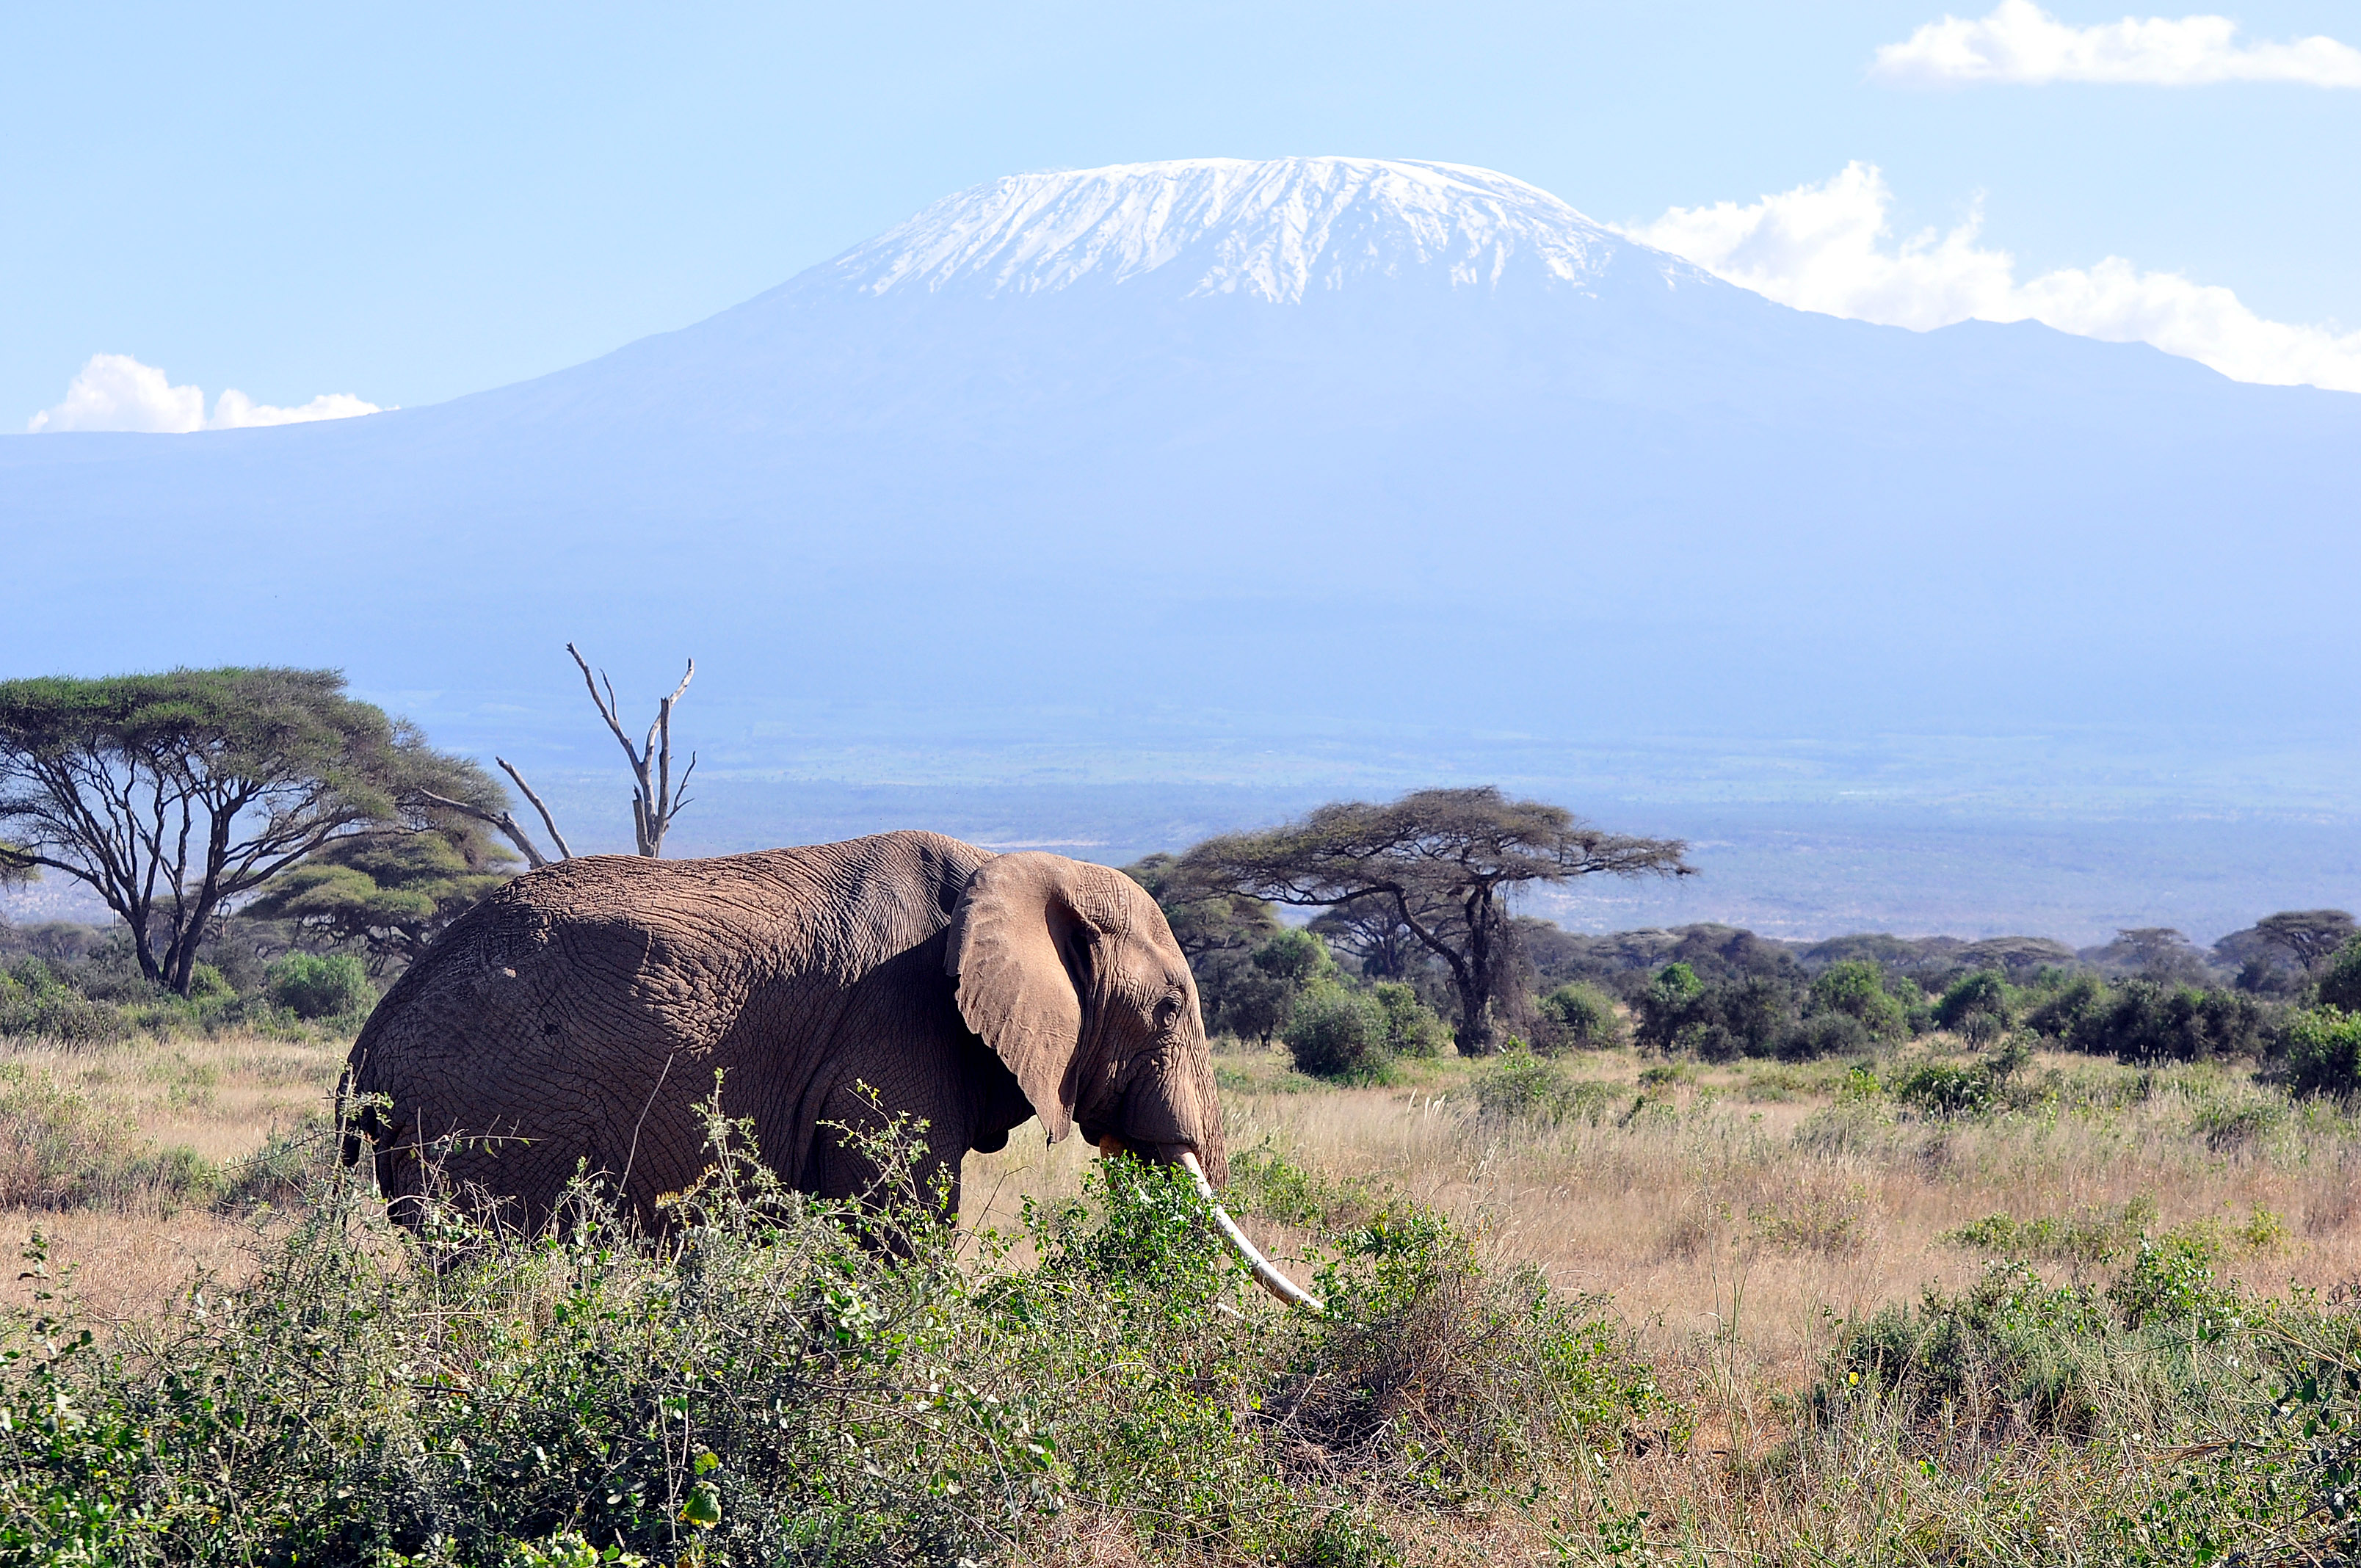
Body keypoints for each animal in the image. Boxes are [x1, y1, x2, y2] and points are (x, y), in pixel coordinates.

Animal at [342, 831, 1321, 1313]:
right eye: (1169, 1010)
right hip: (477, 1119)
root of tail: (373, 1034)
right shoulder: (895, 1027)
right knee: (482, 1268)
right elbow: (900, 1227)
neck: (1015, 866)